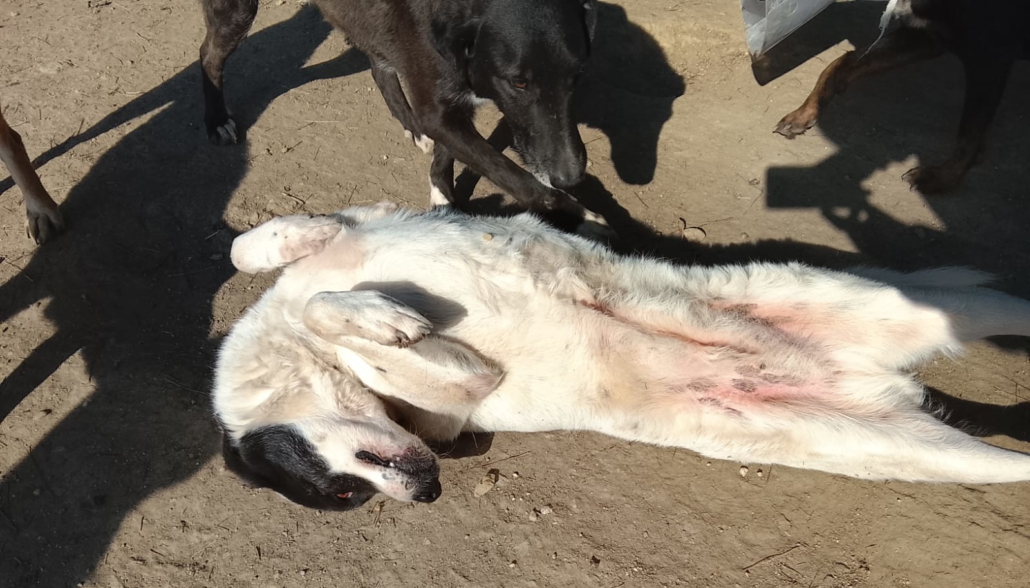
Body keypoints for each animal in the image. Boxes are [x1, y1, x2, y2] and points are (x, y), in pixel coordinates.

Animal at [199, 0, 610, 236]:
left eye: (577, 76)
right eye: (518, 82)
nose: (570, 177)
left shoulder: (446, 105)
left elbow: (448, 151)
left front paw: (442, 196)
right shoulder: (440, 106)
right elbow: (513, 175)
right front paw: (578, 214)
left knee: (379, 66)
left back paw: (410, 126)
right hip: (236, 12)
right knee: (207, 54)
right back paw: (216, 119)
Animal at [212, 202, 1030, 510]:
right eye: (349, 497)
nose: (429, 492)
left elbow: (255, 251)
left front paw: (373, 310)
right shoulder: (456, 402)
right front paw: (381, 324)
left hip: (870, 301)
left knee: (1003, 304)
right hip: (891, 442)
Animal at [775, 0, 1029, 194]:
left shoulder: (990, 58)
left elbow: (968, 134)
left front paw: (941, 178)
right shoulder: (927, 36)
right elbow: (843, 62)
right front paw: (805, 111)